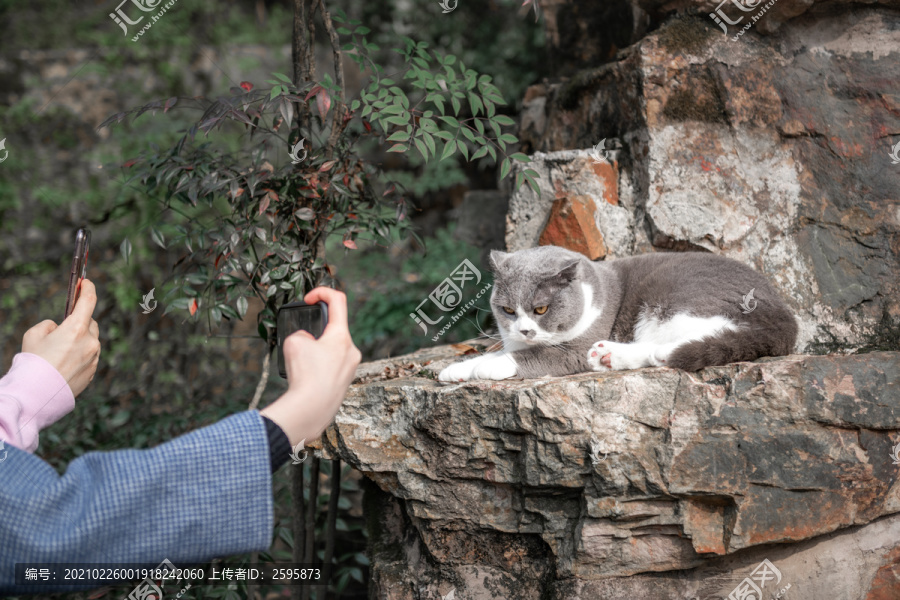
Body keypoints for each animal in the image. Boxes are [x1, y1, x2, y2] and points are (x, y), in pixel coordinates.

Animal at [440, 246, 800, 382]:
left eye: (541, 309)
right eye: (508, 310)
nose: (525, 330)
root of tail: (786, 313)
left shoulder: (573, 350)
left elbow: (533, 357)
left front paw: (488, 366)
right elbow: (500, 351)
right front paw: (455, 370)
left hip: (679, 298)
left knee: (689, 340)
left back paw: (614, 353)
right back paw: (609, 358)